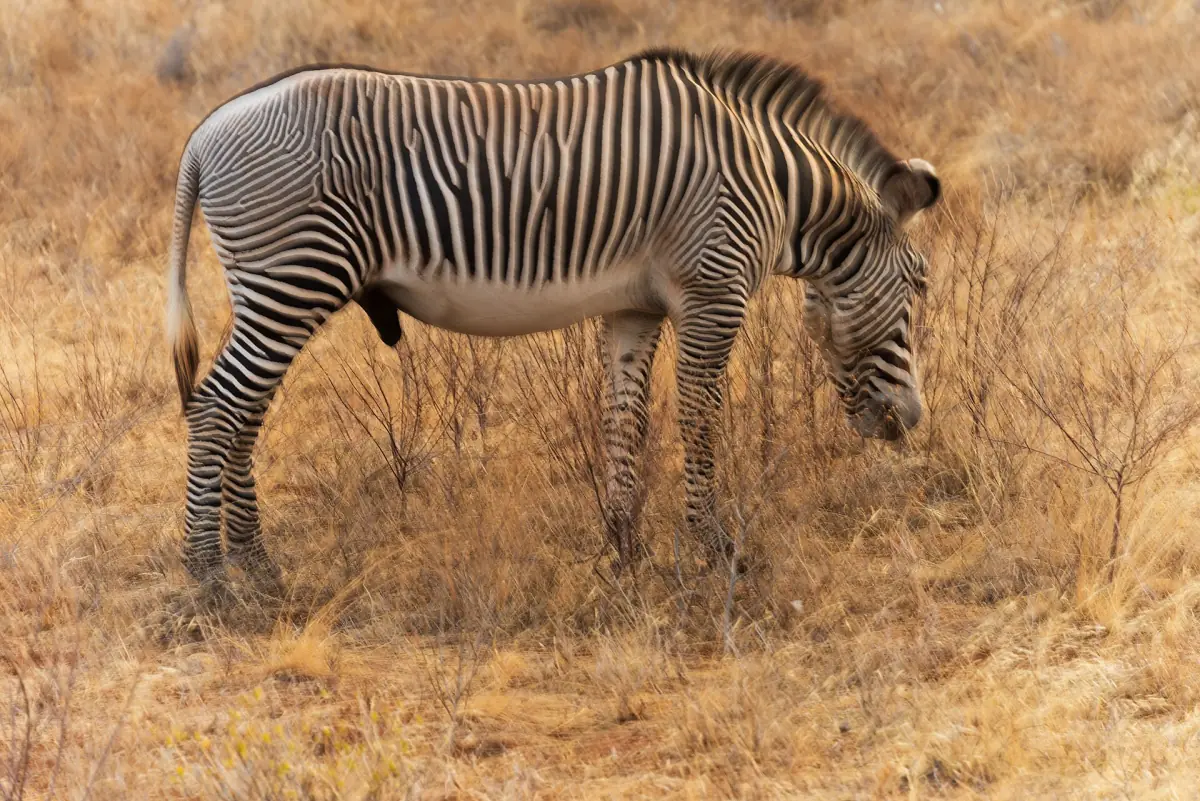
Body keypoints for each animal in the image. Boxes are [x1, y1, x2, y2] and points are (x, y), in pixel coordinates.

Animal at [166, 48, 941, 589]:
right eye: (919, 285)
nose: (910, 421)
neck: (771, 182)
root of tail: (204, 133)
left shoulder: (633, 308)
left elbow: (625, 419)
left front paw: (625, 550)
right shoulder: (713, 291)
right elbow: (699, 419)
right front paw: (716, 547)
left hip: (276, 288)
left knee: (243, 413)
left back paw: (257, 564)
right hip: (293, 276)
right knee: (216, 407)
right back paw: (207, 572)